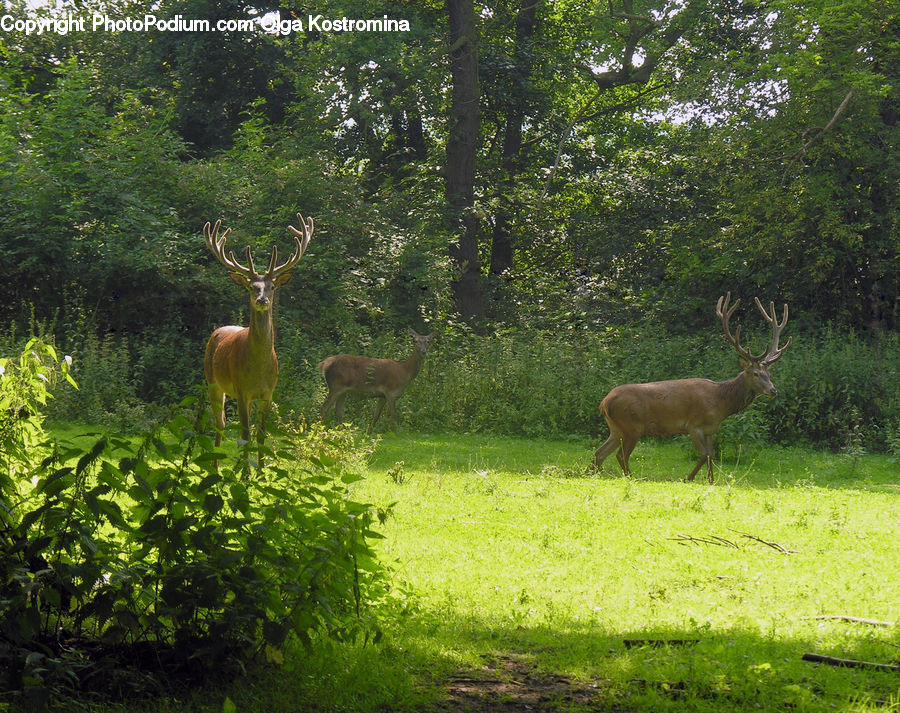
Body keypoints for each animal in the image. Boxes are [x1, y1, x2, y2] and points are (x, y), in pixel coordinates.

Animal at [203, 213, 313, 471]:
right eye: (252, 287)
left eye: (271, 286)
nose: (263, 299)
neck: (259, 367)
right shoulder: (241, 389)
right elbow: (244, 434)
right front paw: (245, 475)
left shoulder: (268, 393)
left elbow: (260, 434)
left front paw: (261, 473)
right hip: (212, 382)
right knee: (220, 423)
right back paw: (215, 466)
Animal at [593, 293, 791, 483]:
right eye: (755, 374)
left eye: (768, 374)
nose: (773, 390)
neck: (721, 403)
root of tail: (604, 403)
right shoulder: (693, 425)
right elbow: (704, 455)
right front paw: (688, 478)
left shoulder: (711, 429)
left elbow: (711, 455)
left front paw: (711, 480)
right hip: (632, 426)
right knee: (621, 455)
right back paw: (631, 477)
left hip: (616, 428)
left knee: (599, 453)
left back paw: (594, 474)